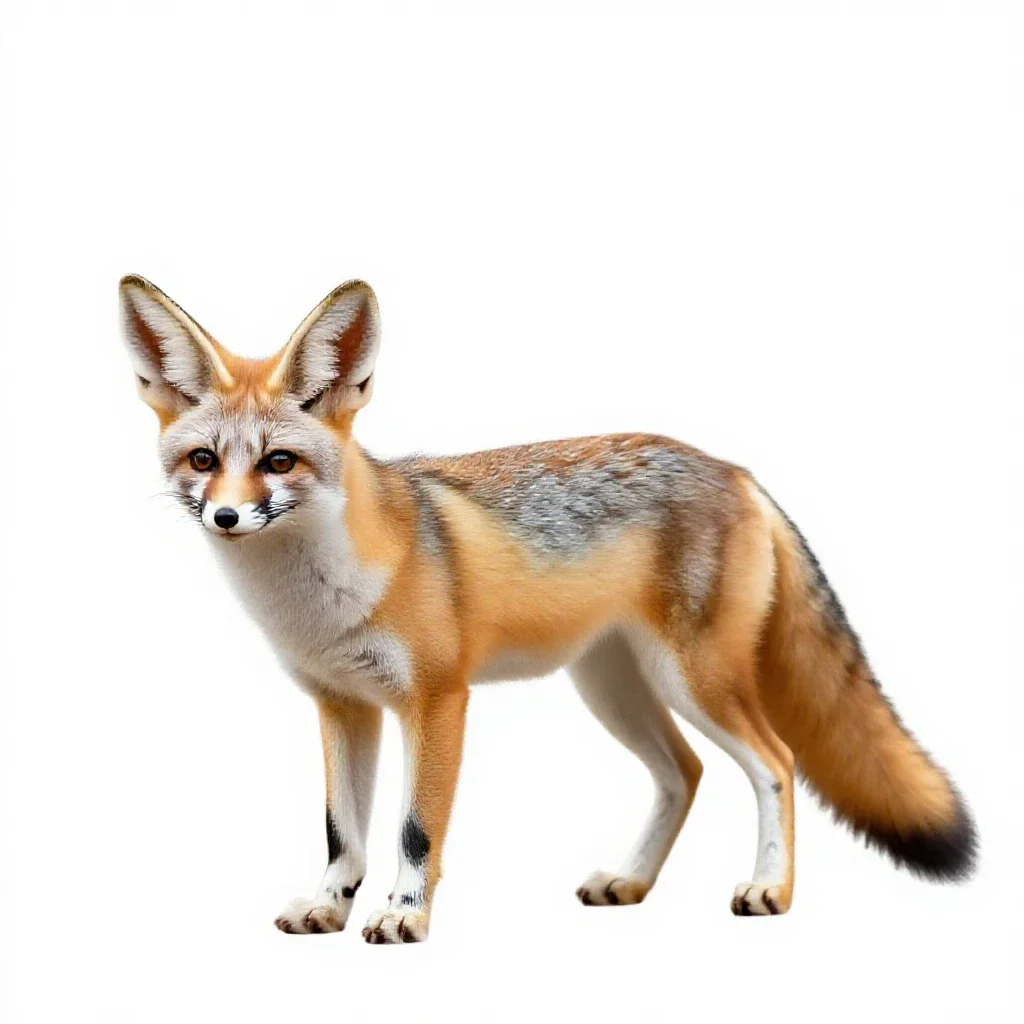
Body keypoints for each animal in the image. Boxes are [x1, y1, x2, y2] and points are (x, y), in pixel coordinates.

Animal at [119, 274, 976, 943]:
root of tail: (734, 467)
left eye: (278, 462)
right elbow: (342, 834)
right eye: (204, 460)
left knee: (776, 762)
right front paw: (330, 908)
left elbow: (413, 830)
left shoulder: (438, 700)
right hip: (612, 688)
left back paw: (769, 888)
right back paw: (630, 881)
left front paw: (404, 915)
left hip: (695, 681)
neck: (320, 598)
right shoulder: (341, 705)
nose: (227, 517)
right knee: (685, 773)